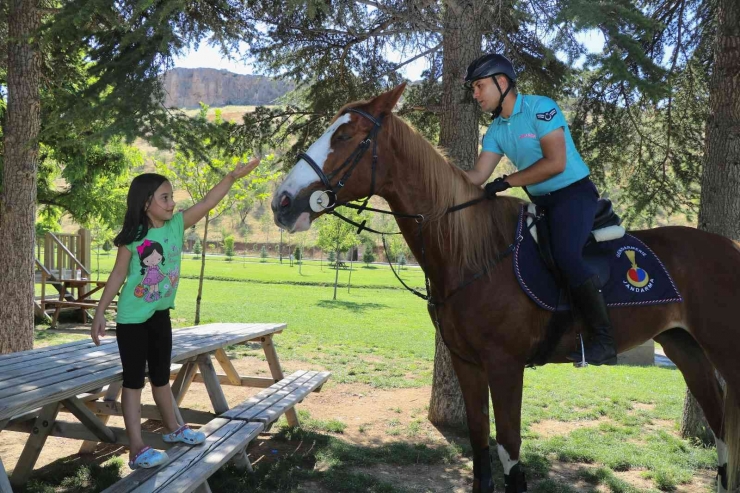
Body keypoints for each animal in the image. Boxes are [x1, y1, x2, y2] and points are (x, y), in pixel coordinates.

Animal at [274, 84, 740, 492]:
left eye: (345, 135)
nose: (282, 201)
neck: (471, 253)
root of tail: (729, 247)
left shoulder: (505, 365)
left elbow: (509, 450)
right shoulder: (467, 363)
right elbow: (480, 444)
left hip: (722, 351)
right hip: (685, 348)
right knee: (720, 429)